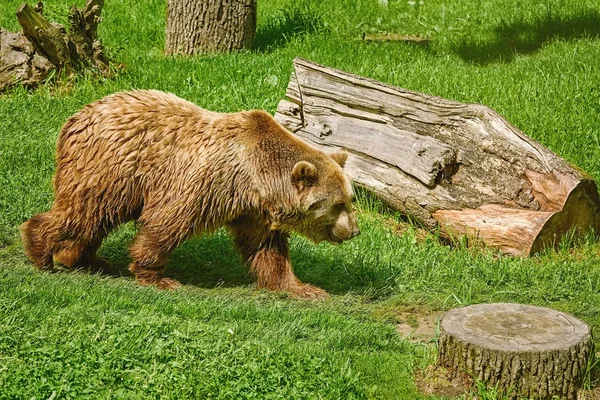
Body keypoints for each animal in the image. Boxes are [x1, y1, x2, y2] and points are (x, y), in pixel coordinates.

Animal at [21, 89, 360, 298]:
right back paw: (40, 250)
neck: (257, 179)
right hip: (110, 166)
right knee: (83, 210)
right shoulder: (204, 182)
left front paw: (304, 288)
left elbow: (268, 250)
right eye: (337, 204)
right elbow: (167, 222)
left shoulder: (254, 212)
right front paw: (159, 277)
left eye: (350, 199)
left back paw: (85, 259)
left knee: (95, 219)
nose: (355, 230)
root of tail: (77, 116)